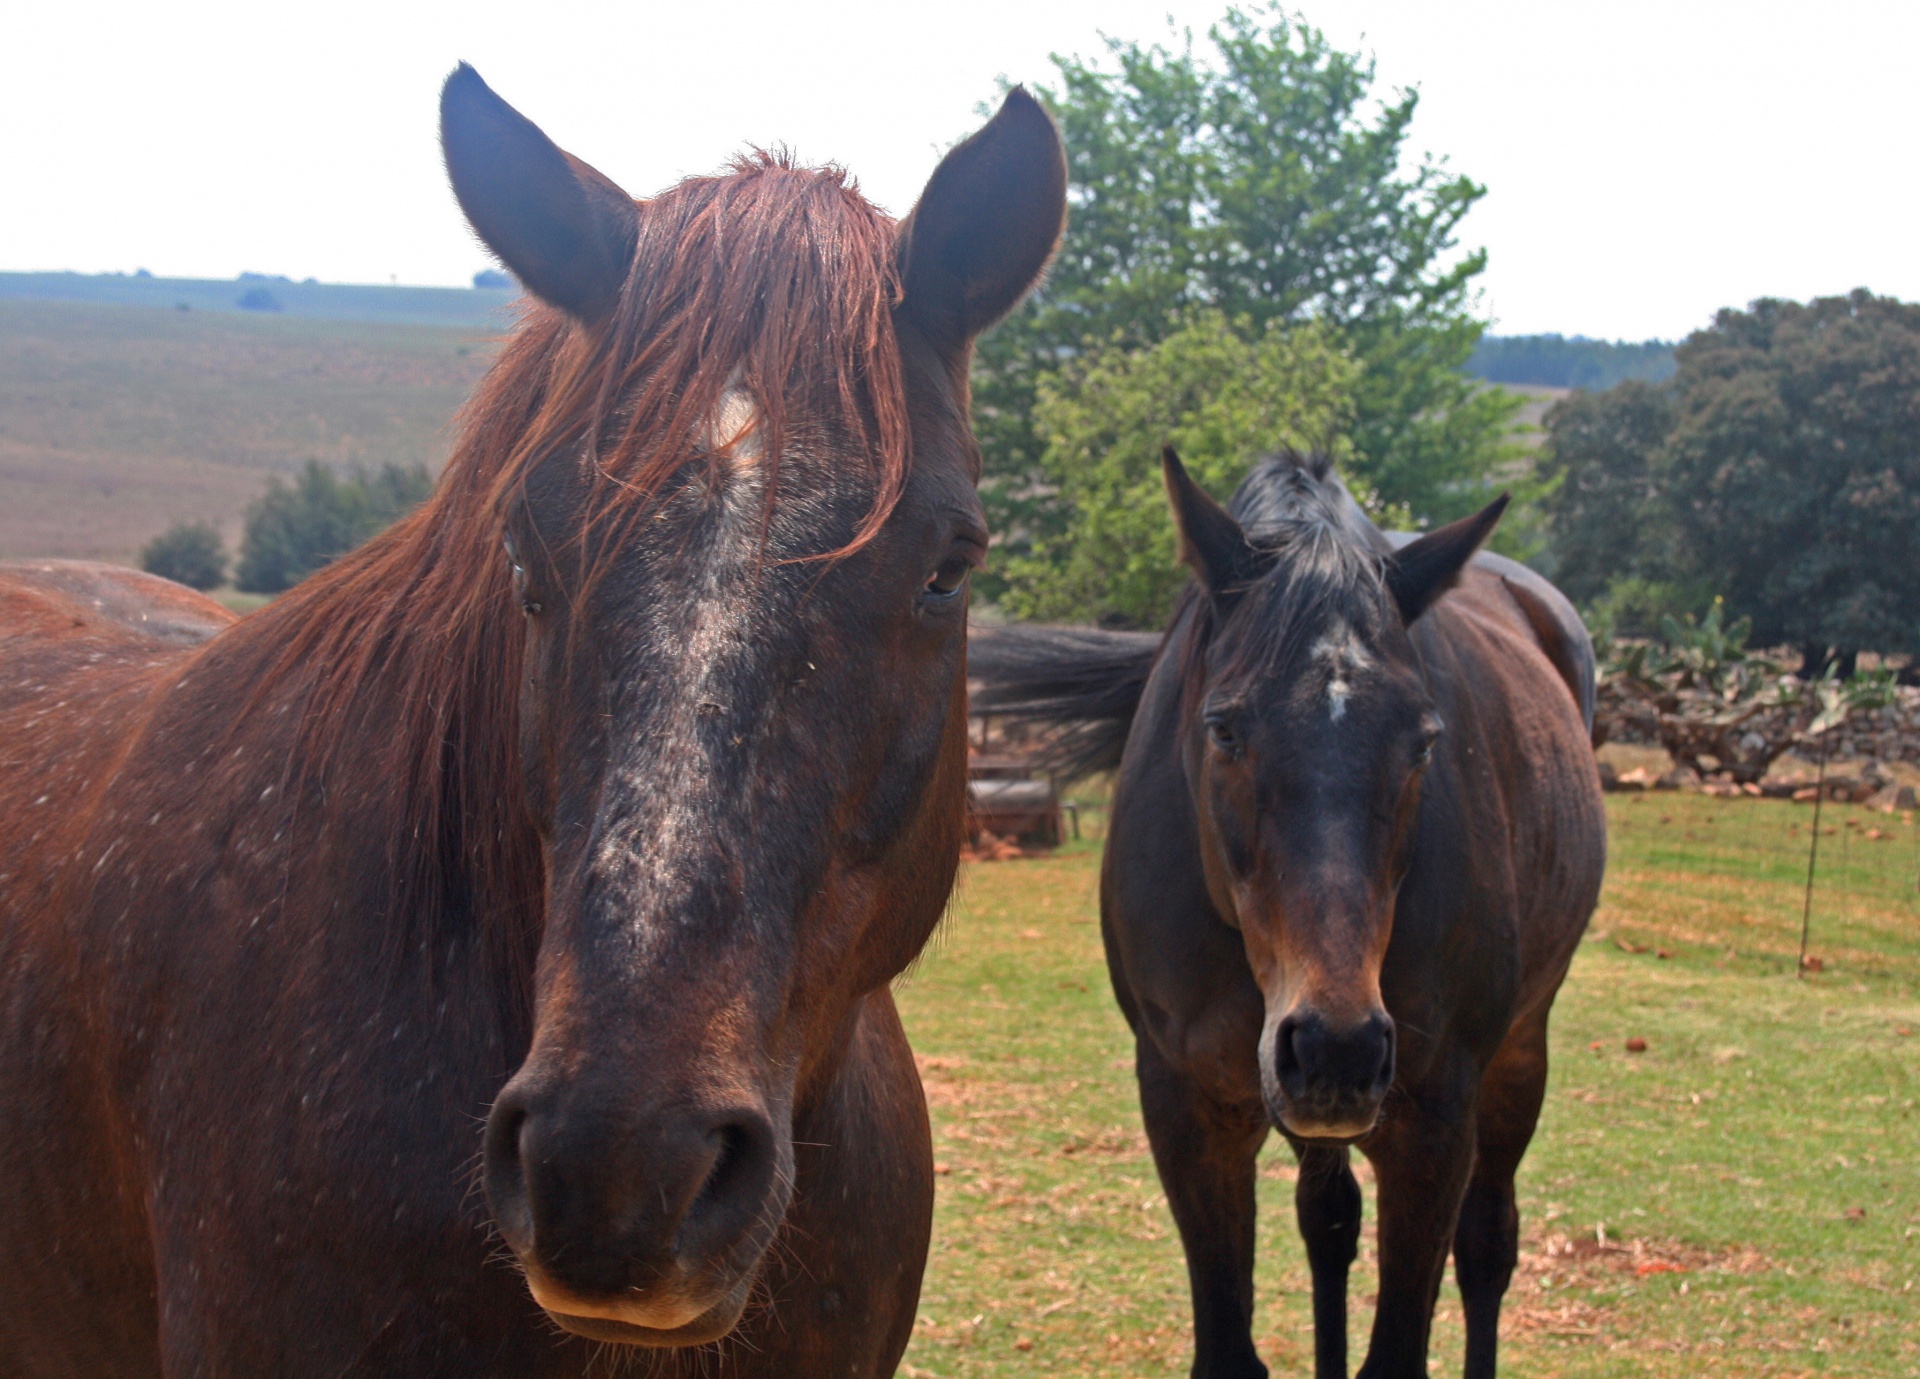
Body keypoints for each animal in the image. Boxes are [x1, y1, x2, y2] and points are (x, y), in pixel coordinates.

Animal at [975, 447, 1605, 1375]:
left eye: (1425, 740)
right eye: (1224, 729)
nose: (1339, 1046)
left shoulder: (1433, 1123)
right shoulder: (1190, 1110)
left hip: (1518, 1050)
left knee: (1488, 1245)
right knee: (1329, 1228)